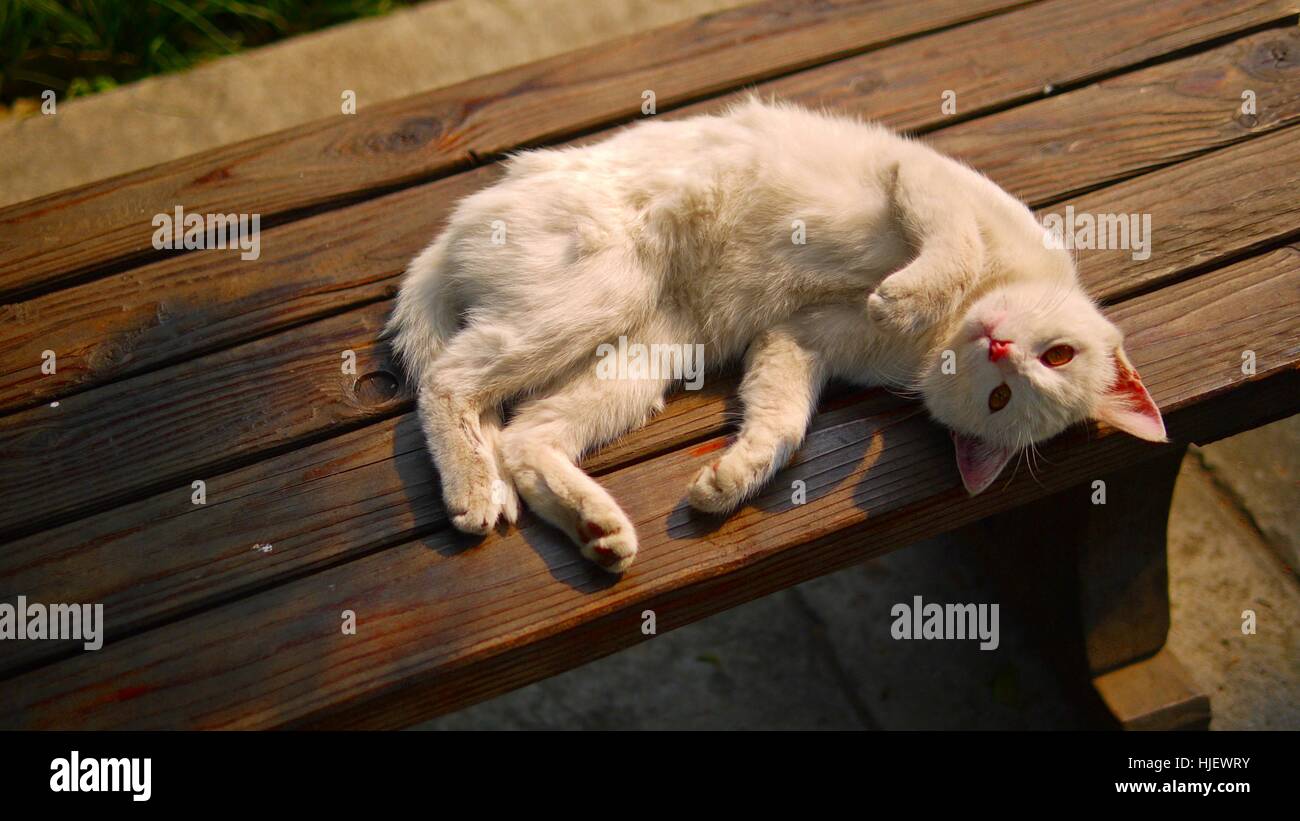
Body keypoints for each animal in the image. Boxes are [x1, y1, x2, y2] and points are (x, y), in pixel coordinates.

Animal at [384, 98, 1170, 571]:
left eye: (1002, 399)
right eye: (1057, 353)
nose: (1000, 346)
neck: (953, 322)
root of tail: (458, 223)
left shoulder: (797, 339)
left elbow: (783, 424)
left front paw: (729, 482)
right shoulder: (924, 180)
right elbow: (955, 244)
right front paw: (903, 295)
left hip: (645, 352)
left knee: (522, 434)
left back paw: (595, 530)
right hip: (606, 286)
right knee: (447, 381)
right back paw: (473, 490)